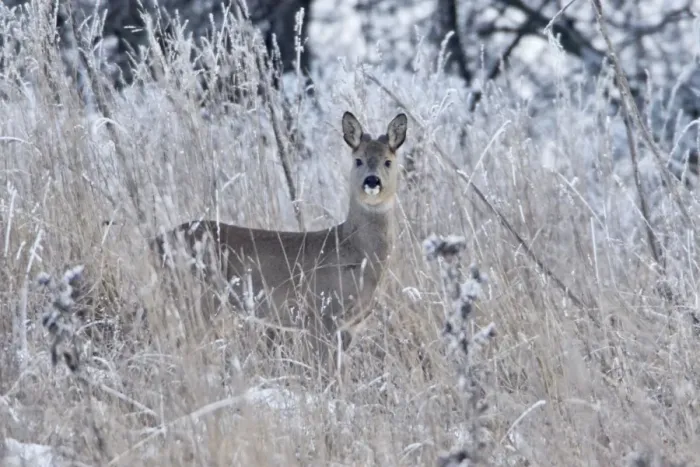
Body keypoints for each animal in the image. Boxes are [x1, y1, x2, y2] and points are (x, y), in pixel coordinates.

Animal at [151, 111, 408, 381]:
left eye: (388, 161)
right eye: (358, 160)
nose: (372, 181)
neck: (353, 251)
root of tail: (155, 242)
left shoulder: (348, 326)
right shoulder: (320, 315)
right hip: (196, 296)